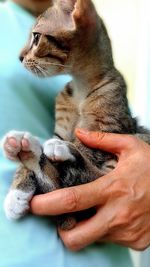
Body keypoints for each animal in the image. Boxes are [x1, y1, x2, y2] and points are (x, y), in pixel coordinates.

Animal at [1, 0, 150, 230]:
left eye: (36, 37)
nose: (20, 57)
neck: (81, 87)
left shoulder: (109, 128)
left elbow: (87, 149)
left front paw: (66, 148)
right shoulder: (61, 129)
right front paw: (16, 193)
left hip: (139, 138)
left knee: (92, 178)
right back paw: (26, 151)